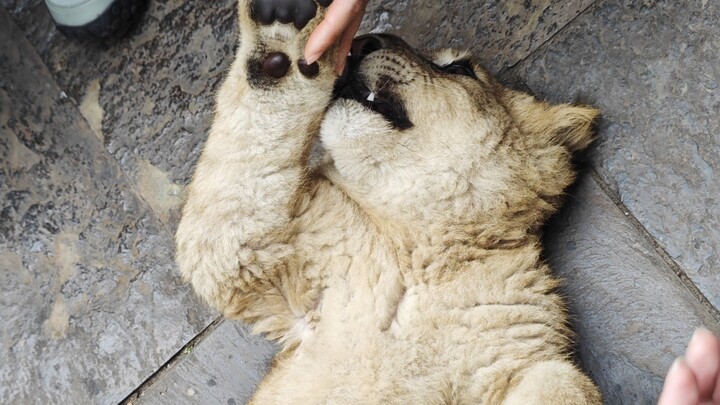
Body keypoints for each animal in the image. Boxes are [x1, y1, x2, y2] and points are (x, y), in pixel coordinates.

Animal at [175, 0, 603, 403]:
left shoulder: (521, 346)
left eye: (461, 68)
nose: (363, 42)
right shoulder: (252, 249)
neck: (422, 253)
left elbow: (559, 379)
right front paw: (285, 27)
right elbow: (240, 176)